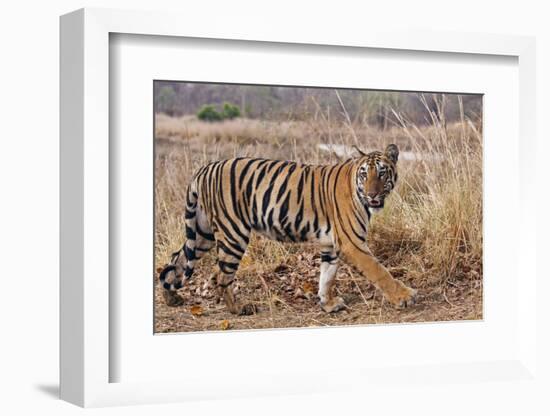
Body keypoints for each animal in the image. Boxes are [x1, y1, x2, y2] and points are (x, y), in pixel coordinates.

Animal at [157, 144, 416, 316]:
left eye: (382, 172)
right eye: (365, 174)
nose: (372, 194)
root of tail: (205, 168)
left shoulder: (331, 244)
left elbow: (327, 276)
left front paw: (327, 304)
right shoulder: (352, 243)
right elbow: (379, 271)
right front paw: (404, 297)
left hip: (203, 233)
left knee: (177, 258)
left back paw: (172, 298)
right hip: (233, 233)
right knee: (222, 274)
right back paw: (238, 309)